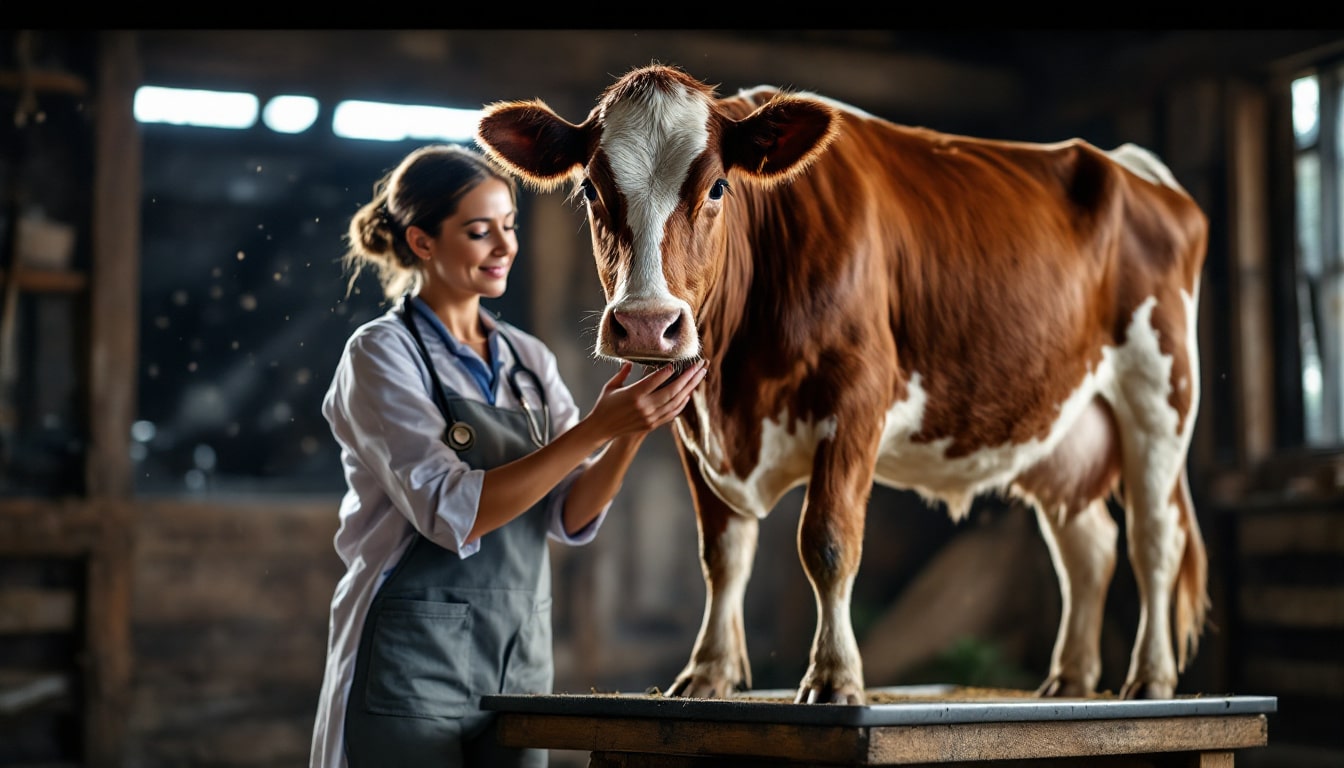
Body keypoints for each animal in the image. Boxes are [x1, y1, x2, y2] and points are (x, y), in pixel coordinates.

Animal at [478, 63, 1214, 704]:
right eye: (591, 190)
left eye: (717, 188)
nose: (647, 324)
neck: (737, 388)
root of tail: (1136, 169)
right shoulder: (694, 427)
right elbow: (721, 553)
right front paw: (708, 672)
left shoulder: (858, 397)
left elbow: (828, 541)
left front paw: (833, 677)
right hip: (1061, 425)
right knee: (1088, 547)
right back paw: (1069, 679)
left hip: (1159, 395)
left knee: (1155, 537)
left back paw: (1149, 678)